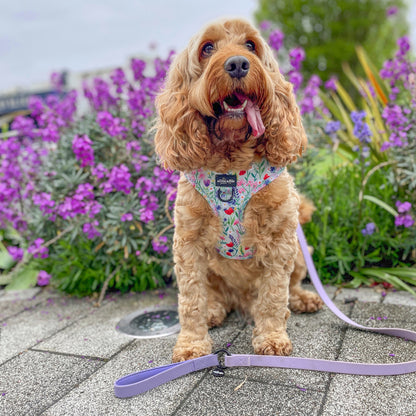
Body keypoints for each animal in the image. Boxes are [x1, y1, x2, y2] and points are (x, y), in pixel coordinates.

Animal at [154, 17, 324, 362]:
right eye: (207, 48)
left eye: (250, 45)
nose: (237, 64)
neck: (231, 167)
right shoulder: (188, 243)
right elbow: (191, 300)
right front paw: (192, 344)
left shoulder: (280, 239)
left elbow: (274, 295)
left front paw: (272, 337)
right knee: (216, 297)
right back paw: (215, 310)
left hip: (300, 252)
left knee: (289, 287)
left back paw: (301, 299)